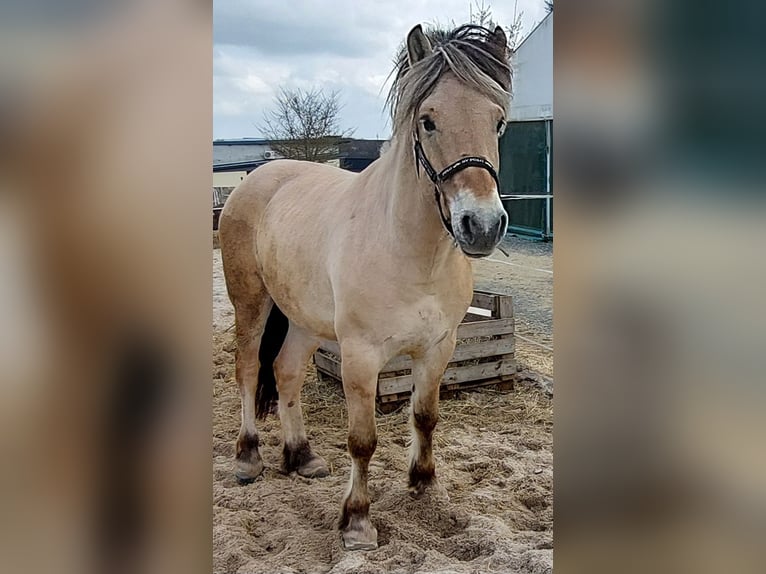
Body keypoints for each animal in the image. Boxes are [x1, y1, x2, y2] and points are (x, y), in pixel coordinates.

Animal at [219, 23, 511, 551]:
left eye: (498, 122)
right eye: (428, 121)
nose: (481, 226)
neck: (410, 251)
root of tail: (258, 176)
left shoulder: (438, 349)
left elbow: (425, 417)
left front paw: (424, 486)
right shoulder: (360, 356)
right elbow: (363, 440)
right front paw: (356, 522)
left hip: (302, 319)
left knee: (286, 371)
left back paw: (302, 457)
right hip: (251, 303)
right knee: (249, 370)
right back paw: (248, 458)